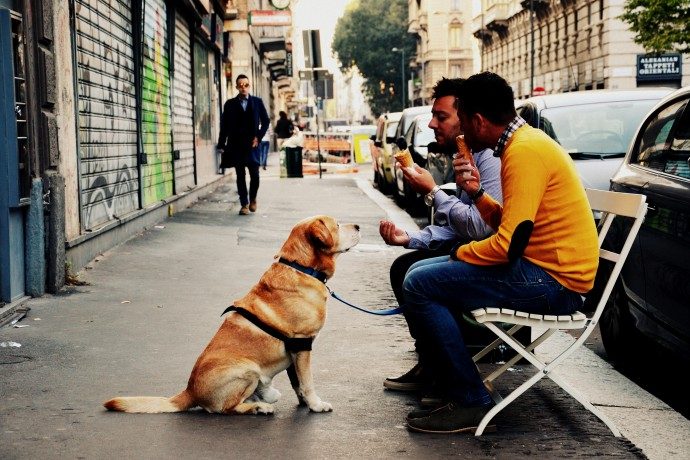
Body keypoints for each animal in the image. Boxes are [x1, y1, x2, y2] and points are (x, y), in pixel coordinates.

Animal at [105, 217, 360, 416]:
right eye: (337, 225)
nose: (358, 226)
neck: (301, 266)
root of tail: (189, 391)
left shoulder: (295, 351)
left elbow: (297, 382)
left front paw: (305, 403)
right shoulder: (302, 344)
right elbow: (307, 382)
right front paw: (316, 404)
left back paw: (264, 396)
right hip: (247, 370)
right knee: (225, 408)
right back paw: (259, 407)